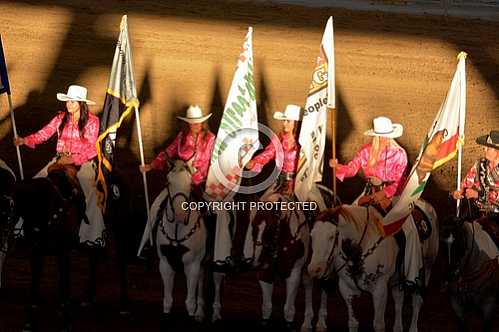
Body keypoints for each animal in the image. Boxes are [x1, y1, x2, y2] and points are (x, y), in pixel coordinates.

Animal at [154, 161, 205, 322]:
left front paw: (194, 312)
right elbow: (167, 301)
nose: (180, 215)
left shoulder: (193, 265)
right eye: (168, 182)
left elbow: (190, 302)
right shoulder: (165, 263)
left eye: (190, 184)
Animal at [306, 200, 440, 332]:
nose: (314, 269)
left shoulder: (380, 289)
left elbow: (379, 325)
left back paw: (413, 327)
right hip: (397, 277)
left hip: (425, 267)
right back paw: (398, 327)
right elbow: (353, 323)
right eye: (311, 235)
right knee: (398, 298)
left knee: (417, 300)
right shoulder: (345, 287)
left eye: (331, 236)